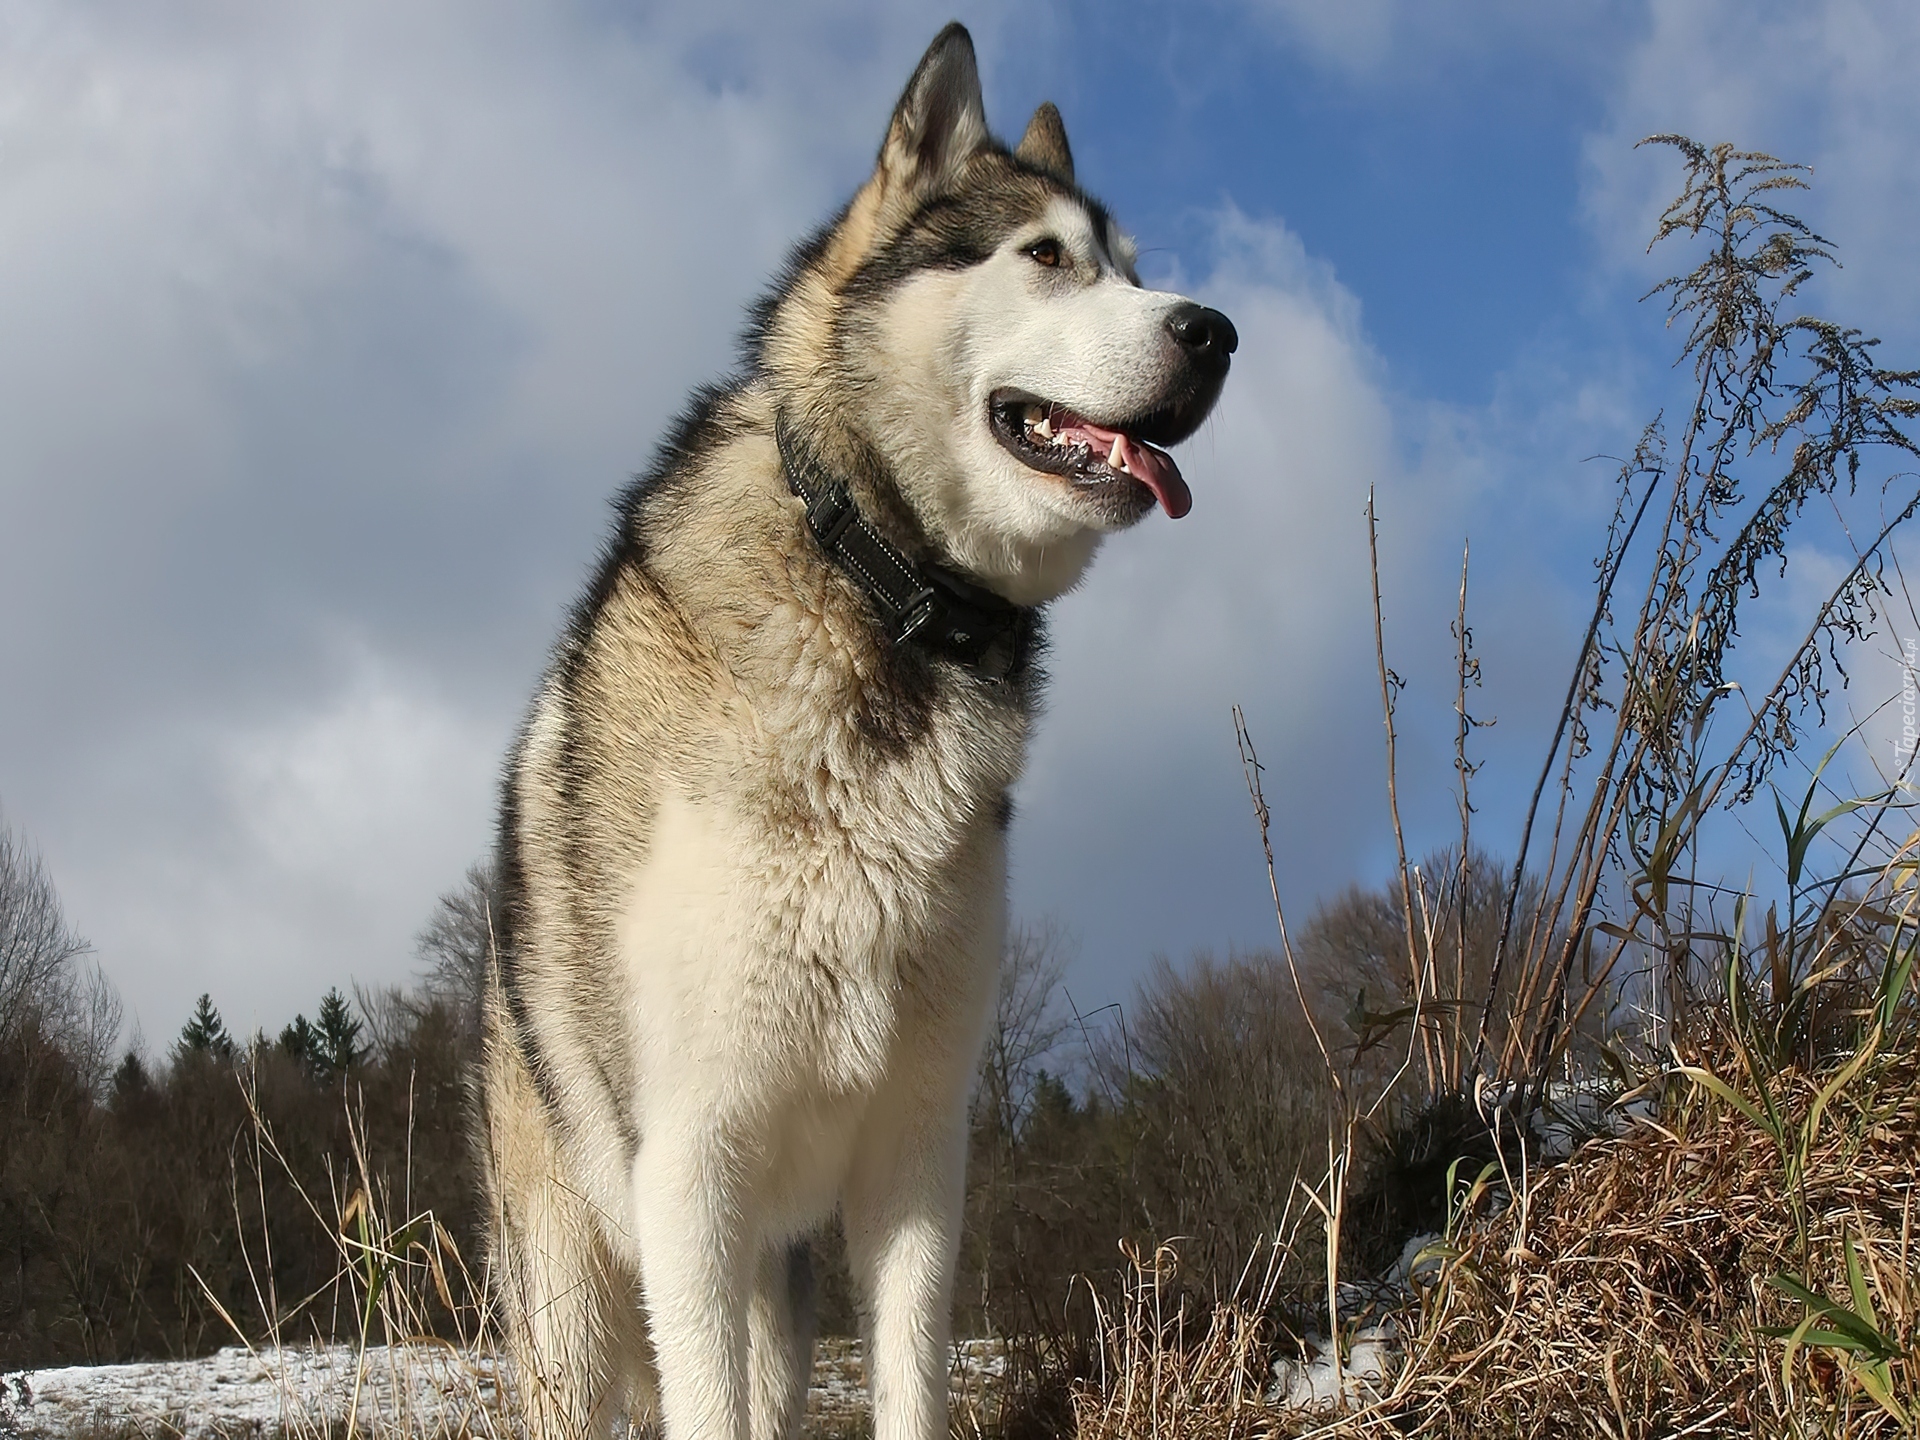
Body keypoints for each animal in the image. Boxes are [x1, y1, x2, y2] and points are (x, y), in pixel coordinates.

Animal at [478, 22, 1228, 1440]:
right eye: (1045, 256)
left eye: (1134, 268)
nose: (1214, 331)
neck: (881, 597)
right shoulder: (693, 1170)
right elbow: (705, 1403)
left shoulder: (919, 1155)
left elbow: (910, 1382)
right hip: (577, 1283)